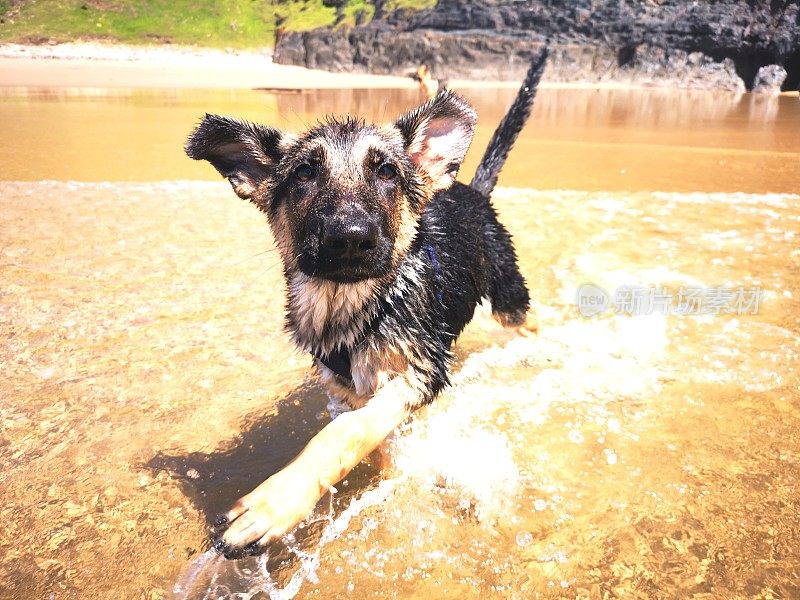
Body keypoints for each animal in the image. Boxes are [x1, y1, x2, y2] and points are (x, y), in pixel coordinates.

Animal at [186, 47, 552, 556]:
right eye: (304, 173)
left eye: (386, 171)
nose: (350, 238)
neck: (352, 305)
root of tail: (469, 190)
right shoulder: (347, 387)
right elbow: (376, 444)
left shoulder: (417, 373)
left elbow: (345, 432)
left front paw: (276, 501)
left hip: (507, 295)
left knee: (533, 322)